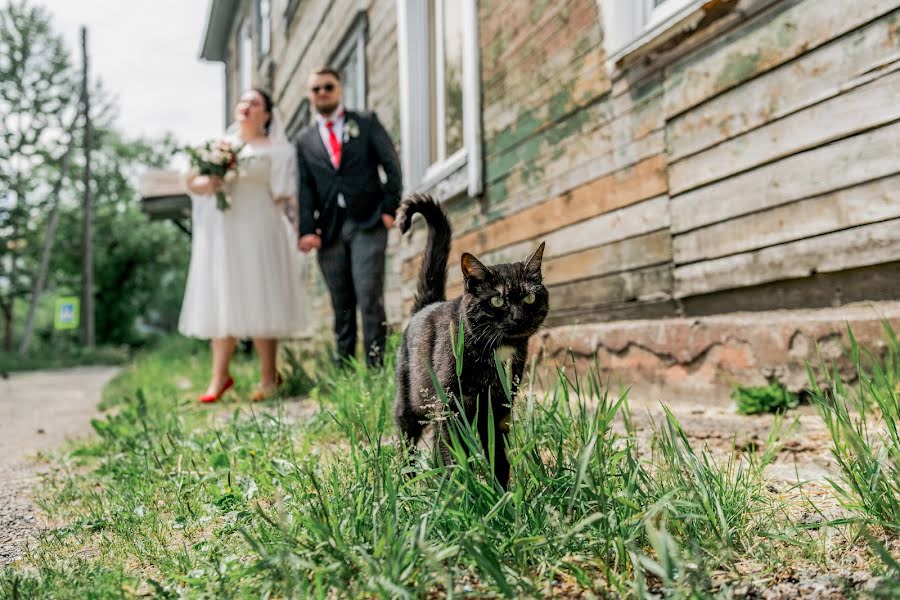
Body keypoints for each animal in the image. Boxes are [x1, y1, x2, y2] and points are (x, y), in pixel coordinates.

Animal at [394, 195, 548, 490]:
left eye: (529, 298)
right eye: (497, 300)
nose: (518, 317)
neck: (498, 351)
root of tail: (426, 306)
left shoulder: (499, 408)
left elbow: (498, 455)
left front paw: (501, 492)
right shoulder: (450, 407)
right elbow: (452, 454)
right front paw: (459, 491)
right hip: (410, 404)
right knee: (406, 442)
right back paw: (408, 483)